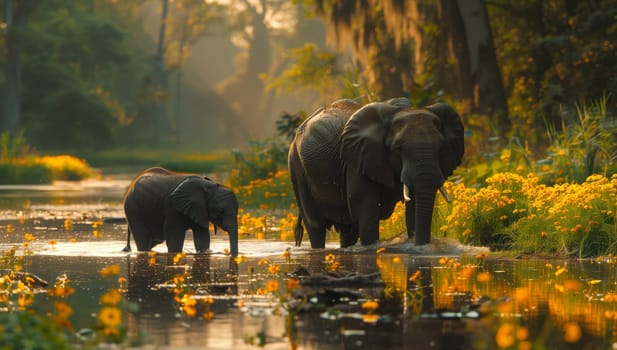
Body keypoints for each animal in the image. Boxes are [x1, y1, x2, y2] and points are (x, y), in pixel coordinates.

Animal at [288, 97, 462, 247]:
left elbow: (413, 209)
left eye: (441, 147)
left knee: (347, 230)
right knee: (315, 226)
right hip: (296, 168)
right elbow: (366, 211)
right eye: (398, 148)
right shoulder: (357, 162)